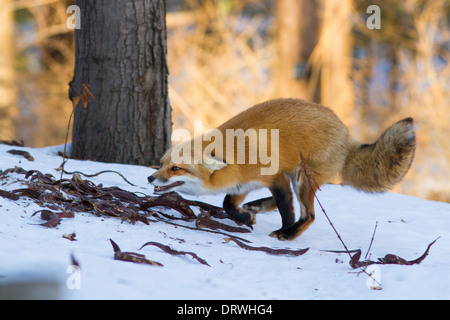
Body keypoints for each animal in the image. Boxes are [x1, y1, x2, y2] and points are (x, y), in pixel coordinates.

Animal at [149, 97, 416, 240]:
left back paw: (289, 233)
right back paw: (256, 207)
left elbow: (287, 210)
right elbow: (227, 204)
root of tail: (346, 133)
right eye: (161, 164)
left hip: (300, 178)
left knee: (308, 215)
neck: (236, 154)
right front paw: (245, 217)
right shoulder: (242, 184)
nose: (150, 178)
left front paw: (283, 231)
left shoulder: (275, 177)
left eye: (175, 169)